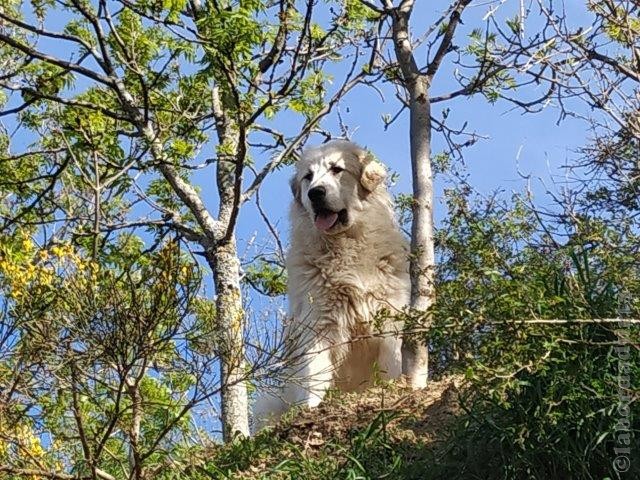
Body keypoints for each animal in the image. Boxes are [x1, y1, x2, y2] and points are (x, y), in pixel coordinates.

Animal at [255, 141, 420, 430]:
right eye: (308, 177)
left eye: (336, 169)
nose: (315, 193)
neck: (345, 248)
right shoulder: (318, 325)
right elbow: (314, 373)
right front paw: (311, 409)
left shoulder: (390, 318)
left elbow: (391, 361)